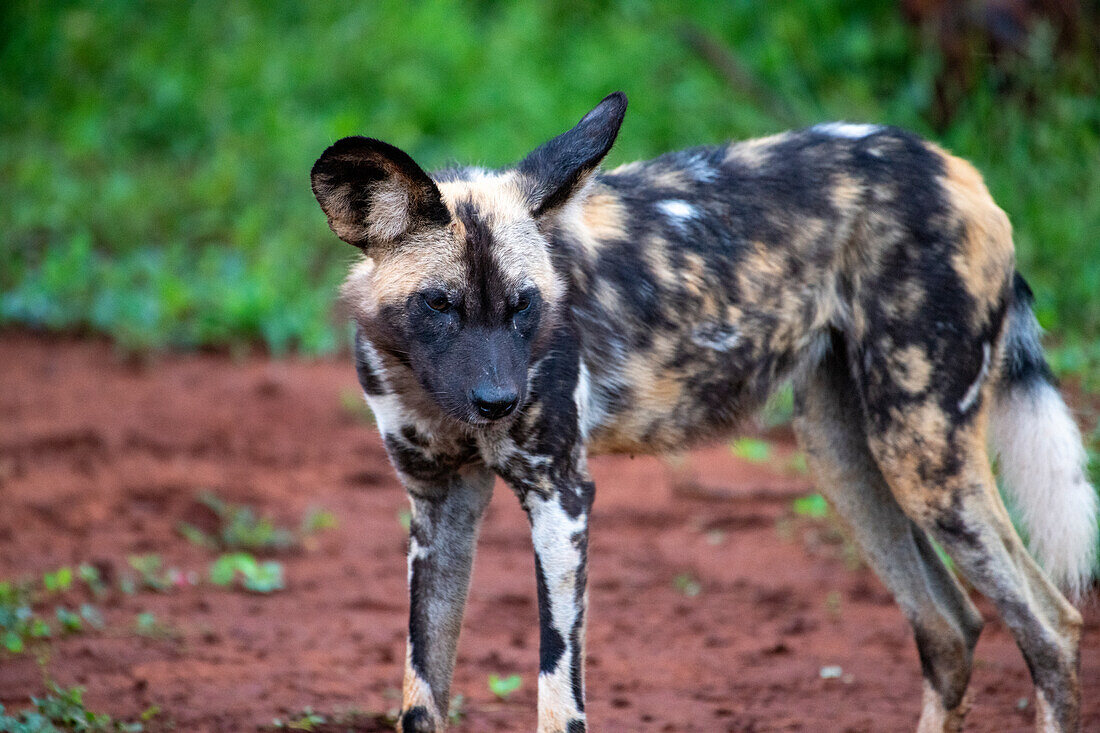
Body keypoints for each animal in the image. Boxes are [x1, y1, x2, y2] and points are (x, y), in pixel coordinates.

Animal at [314, 94, 1095, 726]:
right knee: (950, 628)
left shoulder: (560, 496)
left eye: (524, 306)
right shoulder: (439, 506)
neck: (429, 387)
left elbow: (558, 702)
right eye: (438, 306)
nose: (500, 401)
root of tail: (954, 170)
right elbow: (422, 699)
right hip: (848, 459)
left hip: (923, 457)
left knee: (1052, 628)